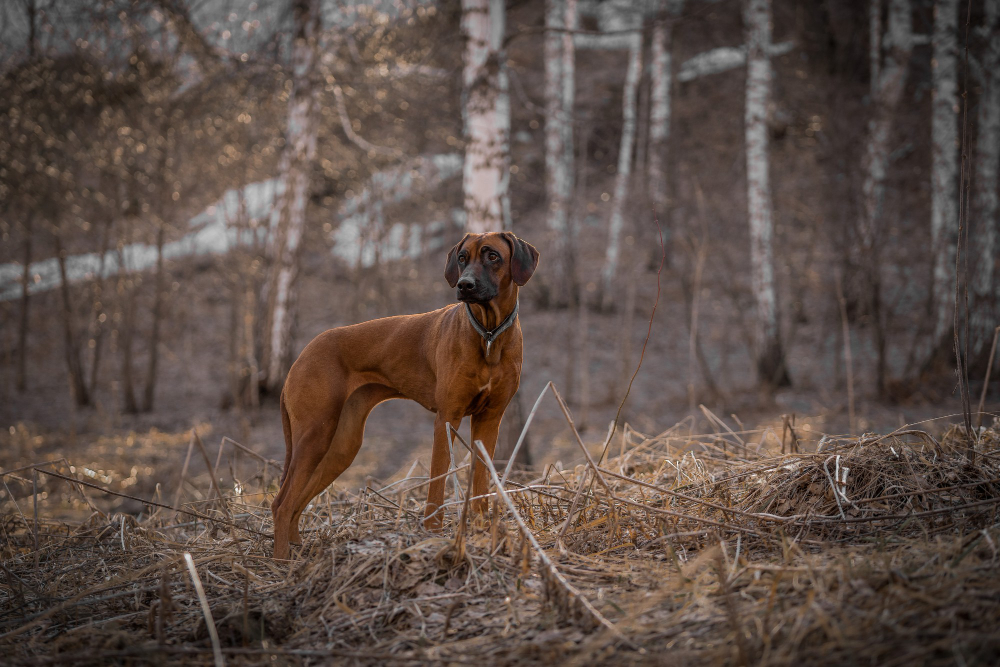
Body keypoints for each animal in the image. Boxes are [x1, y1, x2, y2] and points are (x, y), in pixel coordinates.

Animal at [271, 231, 538, 559]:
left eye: (493, 257)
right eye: (462, 258)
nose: (464, 285)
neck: (488, 335)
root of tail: (300, 357)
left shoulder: (489, 421)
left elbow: (480, 485)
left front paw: (480, 533)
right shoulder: (446, 419)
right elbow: (437, 484)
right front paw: (433, 534)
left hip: (340, 446)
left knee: (296, 503)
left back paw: (297, 549)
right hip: (314, 435)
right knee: (282, 504)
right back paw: (281, 562)